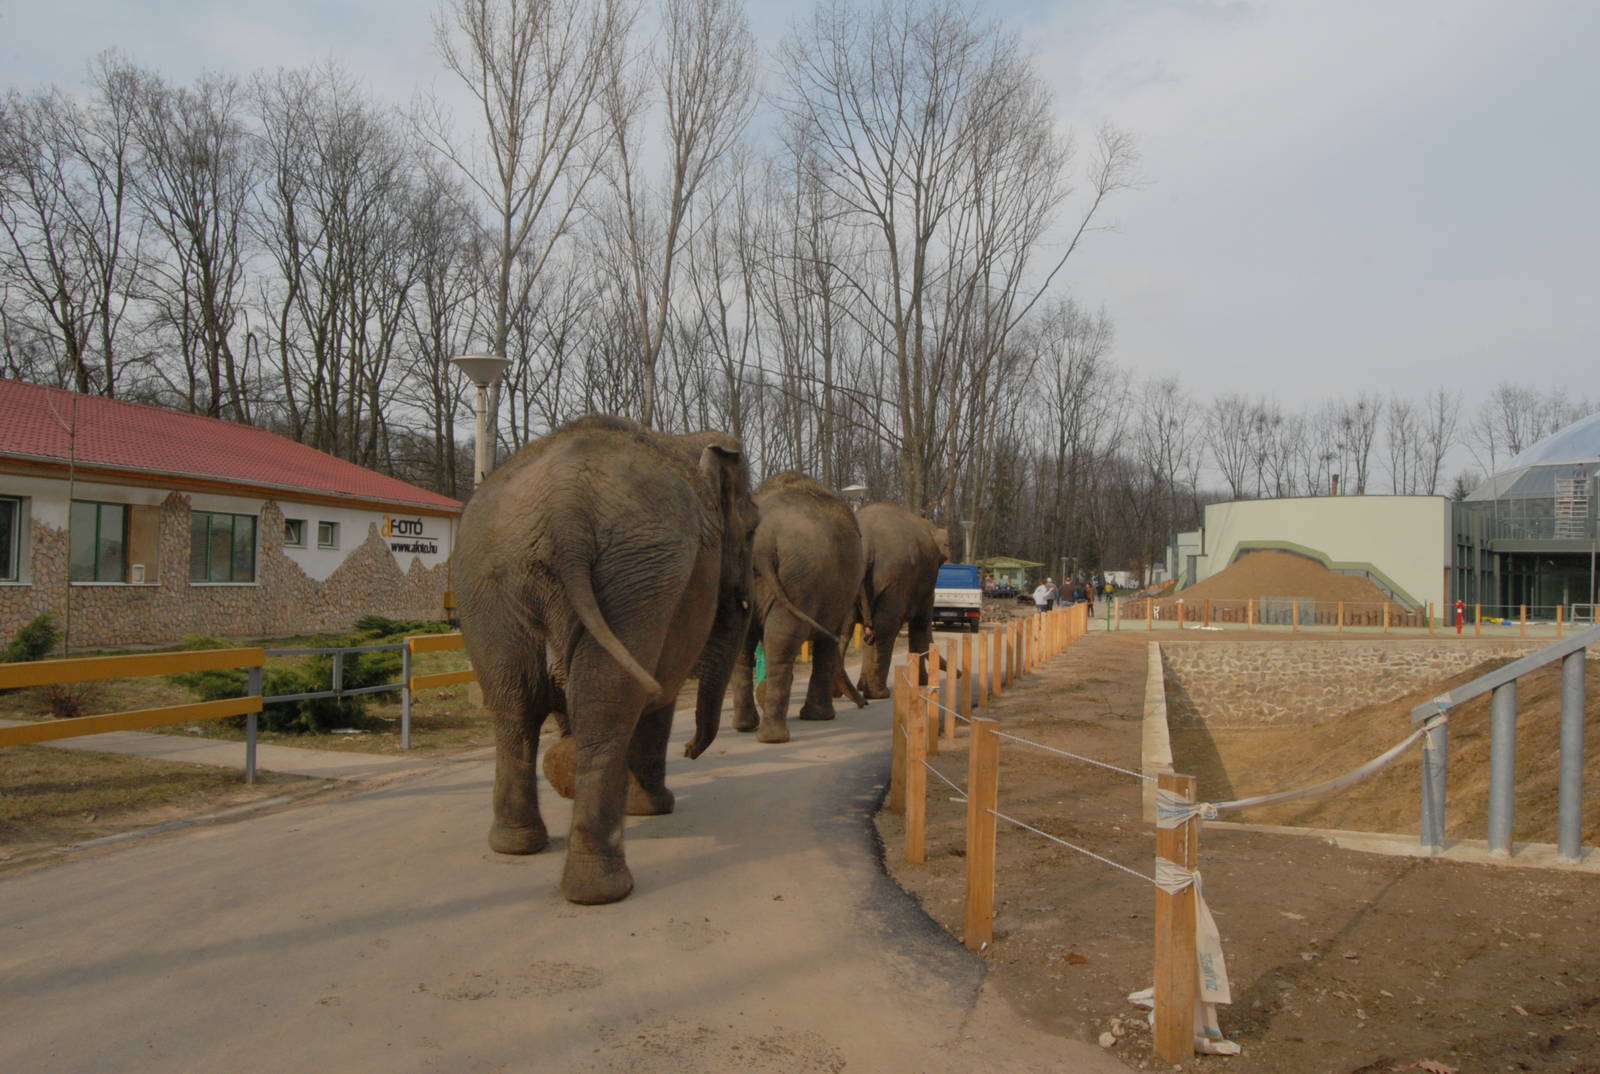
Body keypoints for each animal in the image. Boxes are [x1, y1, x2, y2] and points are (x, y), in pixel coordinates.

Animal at [454, 415, 757, 905]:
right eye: (752, 530)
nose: (691, 751)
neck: (683, 439)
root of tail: (564, 508)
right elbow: (662, 689)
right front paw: (654, 810)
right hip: (637, 576)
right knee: (609, 707)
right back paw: (603, 888)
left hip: (489, 582)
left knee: (514, 707)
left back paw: (517, 846)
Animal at [728, 471, 866, 743]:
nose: (863, 704)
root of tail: (763, 540)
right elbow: (828, 641)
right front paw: (821, 717)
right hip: (800, 576)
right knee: (781, 643)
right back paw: (773, 737)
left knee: (747, 643)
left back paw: (745, 726)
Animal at [853, 502, 949, 699]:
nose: (958, 674)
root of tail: (867, 545)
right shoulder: (927, 584)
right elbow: (920, 625)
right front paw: (922, 683)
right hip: (893, 580)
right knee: (885, 628)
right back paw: (878, 693)